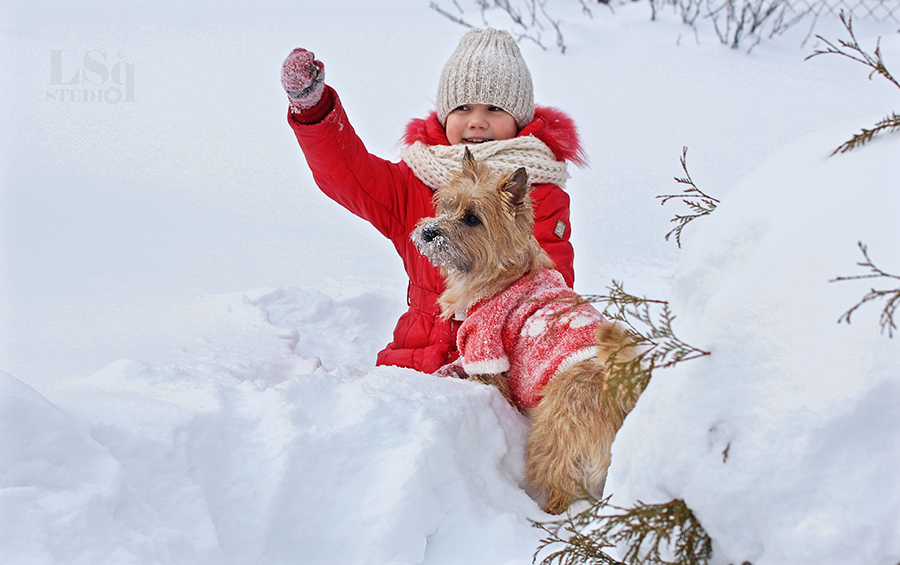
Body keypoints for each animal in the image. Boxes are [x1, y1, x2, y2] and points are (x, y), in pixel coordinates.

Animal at [412, 149, 636, 512]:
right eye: (446, 205)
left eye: (471, 218)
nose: (429, 232)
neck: (504, 276)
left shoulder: (485, 349)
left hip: (552, 434)